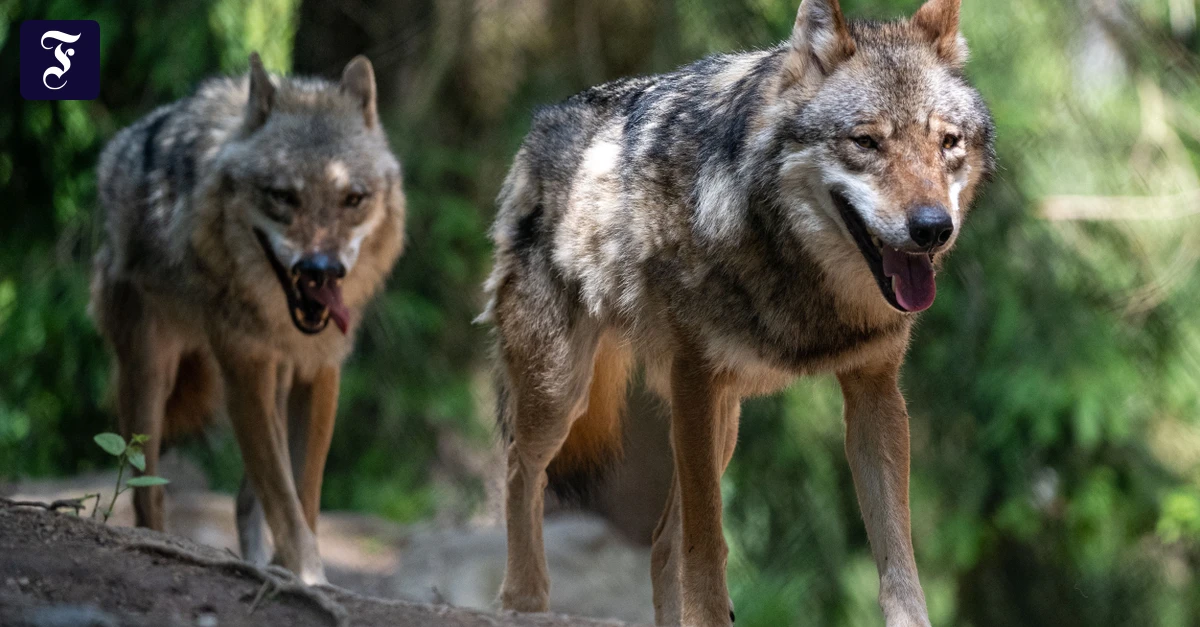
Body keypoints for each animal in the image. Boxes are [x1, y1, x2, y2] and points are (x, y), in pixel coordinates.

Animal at [90, 53, 405, 584]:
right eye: (282, 196)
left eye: (353, 199)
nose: (321, 270)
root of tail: (118, 148)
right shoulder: (245, 370)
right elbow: (284, 499)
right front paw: (307, 574)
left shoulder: (319, 372)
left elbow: (304, 494)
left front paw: (298, 571)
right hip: (149, 379)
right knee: (148, 491)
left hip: (274, 383)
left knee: (242, 499)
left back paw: (260, 562)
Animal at [482, 0, 994, 624]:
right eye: (866, 141)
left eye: (948, 142)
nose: (933, 228)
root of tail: (544, 121)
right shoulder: (696, 381)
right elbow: (707, 547)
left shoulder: (875, 391)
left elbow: (898, 558)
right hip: (562, 392)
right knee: (519, 470)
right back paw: (523, 598)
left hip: (721, 421)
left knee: (660, 544)